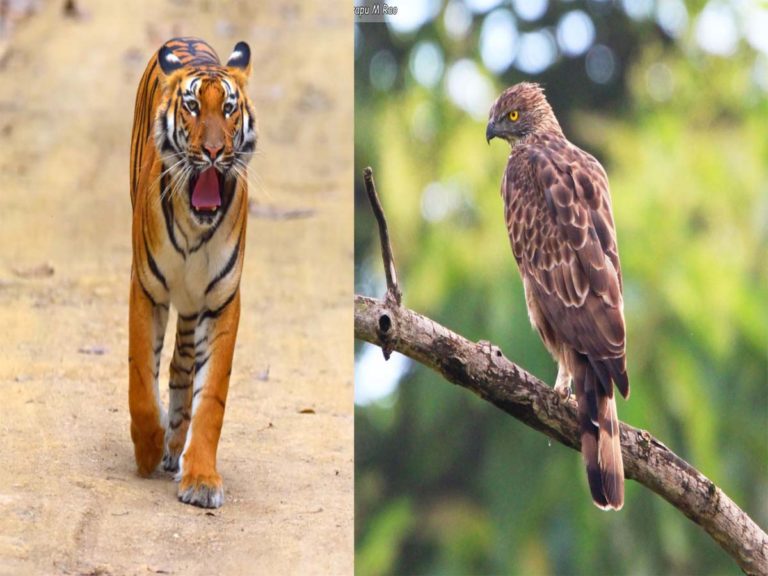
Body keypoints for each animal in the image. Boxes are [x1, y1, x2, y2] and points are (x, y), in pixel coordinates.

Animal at [128, 37, 257, 508]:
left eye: (229, 110)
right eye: (193, 107)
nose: (215, 153)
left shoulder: (222, 301)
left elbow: (212, 397)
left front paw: (200, 477)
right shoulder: (146, 289)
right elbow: (140, 377)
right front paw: (148, 446)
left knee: (182, 365)